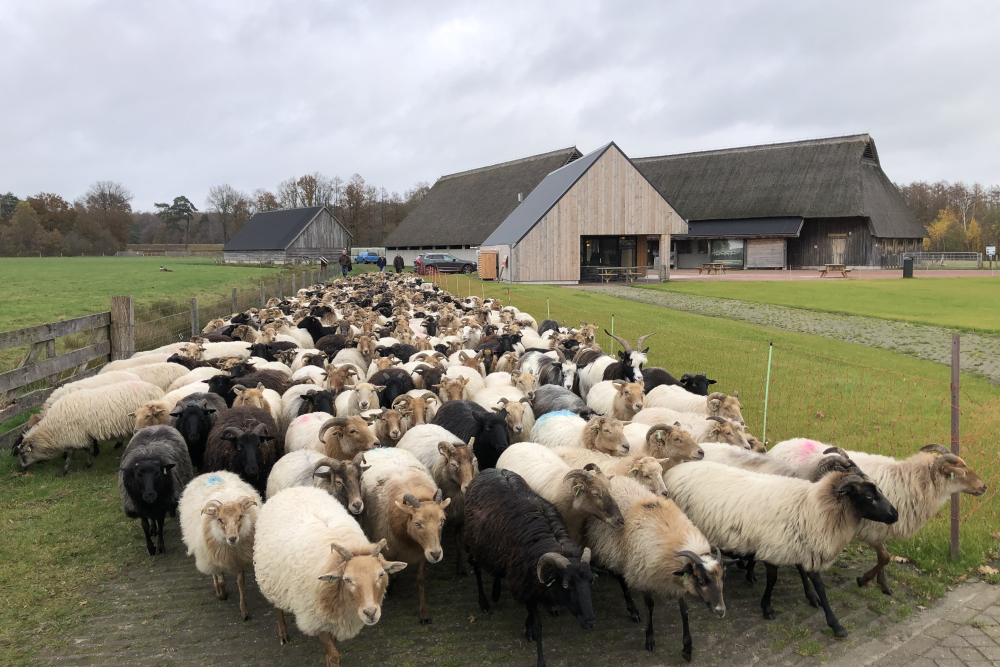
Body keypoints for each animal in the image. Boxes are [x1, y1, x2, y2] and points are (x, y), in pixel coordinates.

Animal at [119, 428, 193, 560]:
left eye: (158, 473)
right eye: (138, 475)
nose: (150, 495)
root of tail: (156, 425)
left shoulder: (161, 504)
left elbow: (160, 522)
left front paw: (160, 546)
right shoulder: (139, 505)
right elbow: (144, 525)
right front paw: (151, 547)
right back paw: (153, 529)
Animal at [179, 470, 262, 620]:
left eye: (240, 516)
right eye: (219, 519)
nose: (232, 538)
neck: (231, 549)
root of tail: (210, 472)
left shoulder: (240, 559)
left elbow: (241, 583)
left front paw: (244, 611)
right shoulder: (215, 556)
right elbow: (221, 580)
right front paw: (223, 594)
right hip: (206, 553)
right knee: (214, 574)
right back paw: (217, 590)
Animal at [254, 486, 406, 667]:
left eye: (381, 574)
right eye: (347, 579)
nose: (370, 613)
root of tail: (293, 488)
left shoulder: (337, 620)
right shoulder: (316, 620)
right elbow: (333, 655)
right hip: (273, 580)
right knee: (278, 605)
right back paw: (283, 632)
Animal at [462, 470, 592, 667]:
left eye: (590, 582)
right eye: (566, 585)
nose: (590, 622)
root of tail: (488, 470)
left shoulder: (528, 580)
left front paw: (527, 628)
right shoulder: (525, 582)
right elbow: (538, 626)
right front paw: (540, 659)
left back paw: (496, 592)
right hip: (474, 544)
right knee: (476, 569)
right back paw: (484, 602)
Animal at [768, 440, 988, 596]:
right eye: (960, 472)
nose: (985, 486)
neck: (912, 481)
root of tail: (778, 446)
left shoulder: (884, 526)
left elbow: (884, 558)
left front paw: (883, 585)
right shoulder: (874, 529)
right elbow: (885, 557)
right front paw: (865, 580)